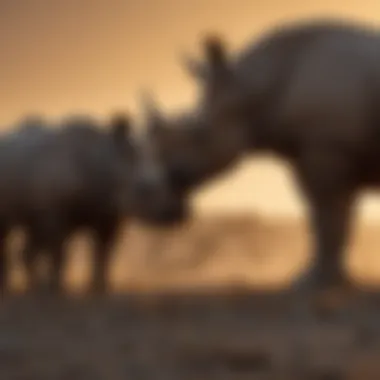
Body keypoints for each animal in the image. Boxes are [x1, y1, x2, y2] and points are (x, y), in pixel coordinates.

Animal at [0, 111, 189, 296]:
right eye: (144, 190)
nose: (177, 213)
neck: (108, 164)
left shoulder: (107, 214)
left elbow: (103, 254)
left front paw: (100, 289)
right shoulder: (55, 215)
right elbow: (59, 253)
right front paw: (57, 289)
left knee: (30, 238)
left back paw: (32, 288)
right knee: (14, 233)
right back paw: (17, 289)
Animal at [143, 20, 380, 300]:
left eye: (200, 135)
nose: (167, 209)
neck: (250, 89)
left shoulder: (328, 150)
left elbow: (329, 218)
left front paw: (314, 282)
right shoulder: (312, 155)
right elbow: (325, 217)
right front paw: (331, 279)